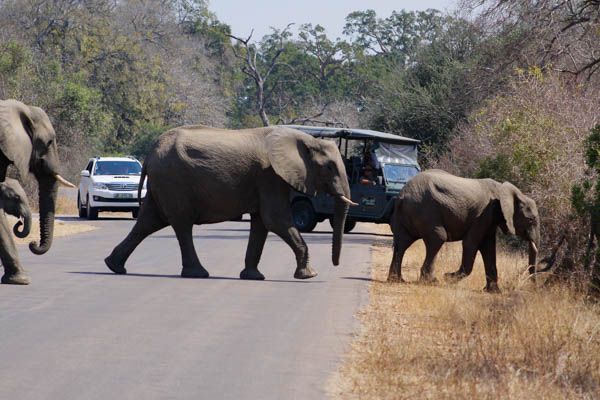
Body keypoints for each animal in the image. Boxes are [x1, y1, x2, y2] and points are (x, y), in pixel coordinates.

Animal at [104, 126, 356, 280]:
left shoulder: (266, 181)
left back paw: (114, 266)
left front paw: (253, 277)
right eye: (329, 167)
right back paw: (198, 273)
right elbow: (276, 220)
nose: (335, 264)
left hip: (163, 183)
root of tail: (149, 154)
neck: (306, 138)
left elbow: (262, 223)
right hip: (173, 181)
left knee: (148, 221)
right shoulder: (270, 176)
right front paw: (309, 275)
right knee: (181, 223)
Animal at [386, 168, 540, 290]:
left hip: (407, 214)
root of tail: (401, 195)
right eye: (531, 220)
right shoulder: (483, 214)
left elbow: (489, 248)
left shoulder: (490, 218)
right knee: (437, 238)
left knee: (402, 243)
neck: (504, 190)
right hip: (425, 210)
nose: (533, 285)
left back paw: (397, 280)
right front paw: (448, 277)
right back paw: (432, 281)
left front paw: (493, 291)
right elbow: (471, 243)